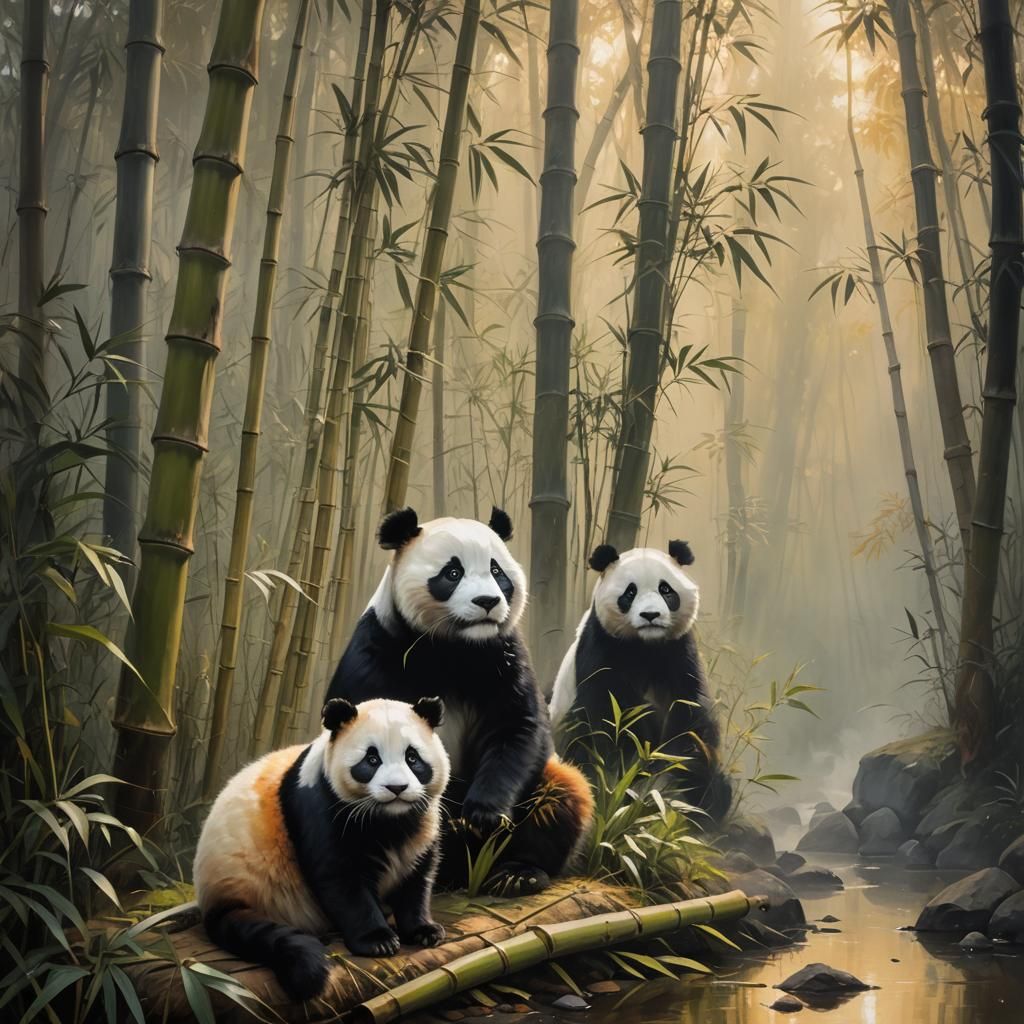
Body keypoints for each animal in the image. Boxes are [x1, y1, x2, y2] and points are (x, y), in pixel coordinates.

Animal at [194, 696, 449, 1001]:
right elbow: (340, 880)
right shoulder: (320, 806)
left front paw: (425, 931)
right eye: (371, 759)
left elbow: (417, 880)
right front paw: (378, 941)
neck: (388, 818)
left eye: (413, 757)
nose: (396, 787)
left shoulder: (422, 824)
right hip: (244, 882)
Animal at [325, 506, 593, 896]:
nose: (488, 602)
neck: (455, 647)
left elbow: (518, 726)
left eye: (497, 571)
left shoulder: (502, 656)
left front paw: (482, 814)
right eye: (453, 572)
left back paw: (517, 872)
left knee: (561, 794)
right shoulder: (378, 652)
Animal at [549, 541, 732, 821]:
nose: (650, 615)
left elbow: (691, 714)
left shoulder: (679, 649)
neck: (645, 646)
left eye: (665, 589)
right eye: (630, 592)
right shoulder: (602, 645)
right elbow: (610, 714)